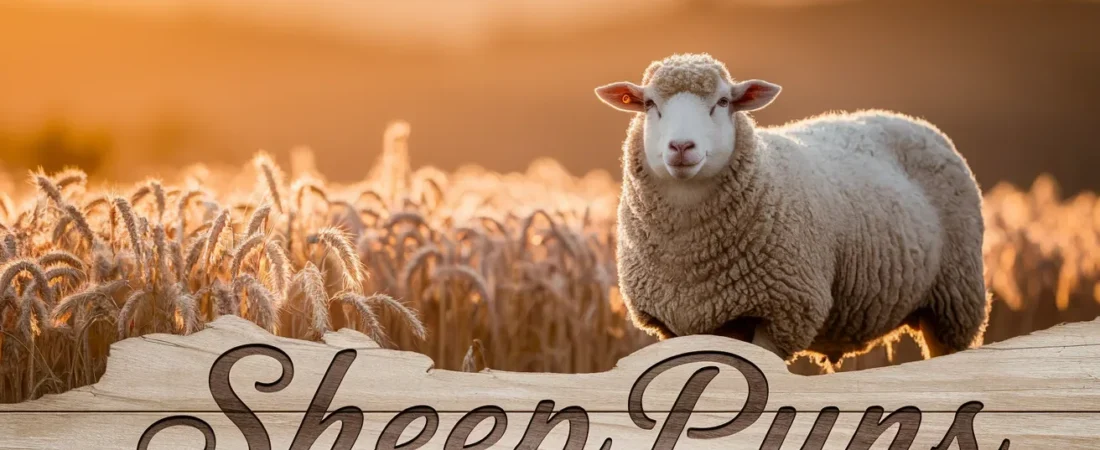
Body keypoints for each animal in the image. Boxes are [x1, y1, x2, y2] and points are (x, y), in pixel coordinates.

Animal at [593, 53, 990, 363]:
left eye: (722, 102)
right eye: (649, 104)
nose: (681, 147)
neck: (691, 260)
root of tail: (912, 121)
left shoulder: (784, 312)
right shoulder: (678, 324)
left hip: (955, 302)